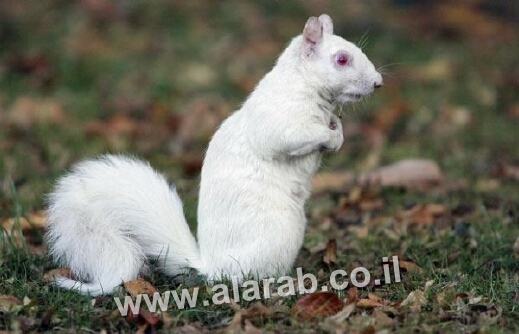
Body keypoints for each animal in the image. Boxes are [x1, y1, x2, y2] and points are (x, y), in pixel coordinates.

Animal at [46, 14, 384, 294]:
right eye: (341, 59)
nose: (378, 82)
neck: (303, 85)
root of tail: (211, 267)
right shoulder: (279, 120)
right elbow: (291, 137)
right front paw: (329, 135)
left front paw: (338, 134)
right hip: (279, 236)